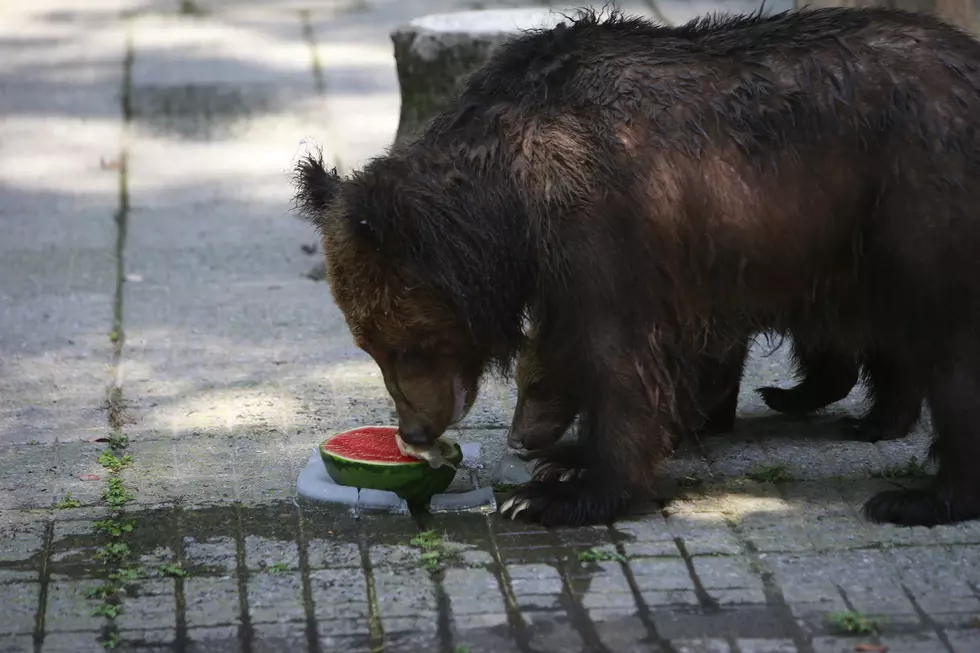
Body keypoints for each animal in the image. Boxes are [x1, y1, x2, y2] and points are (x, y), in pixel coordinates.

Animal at [294, 5, 980, 528]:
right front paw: (563, 454)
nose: (412, 431)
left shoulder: (606, 221)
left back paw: (920, 497)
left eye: (401, 346)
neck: (511, 202)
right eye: (369, 347)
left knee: (951, 352)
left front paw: (561, 492)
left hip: (918, 200)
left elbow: (621, 358)